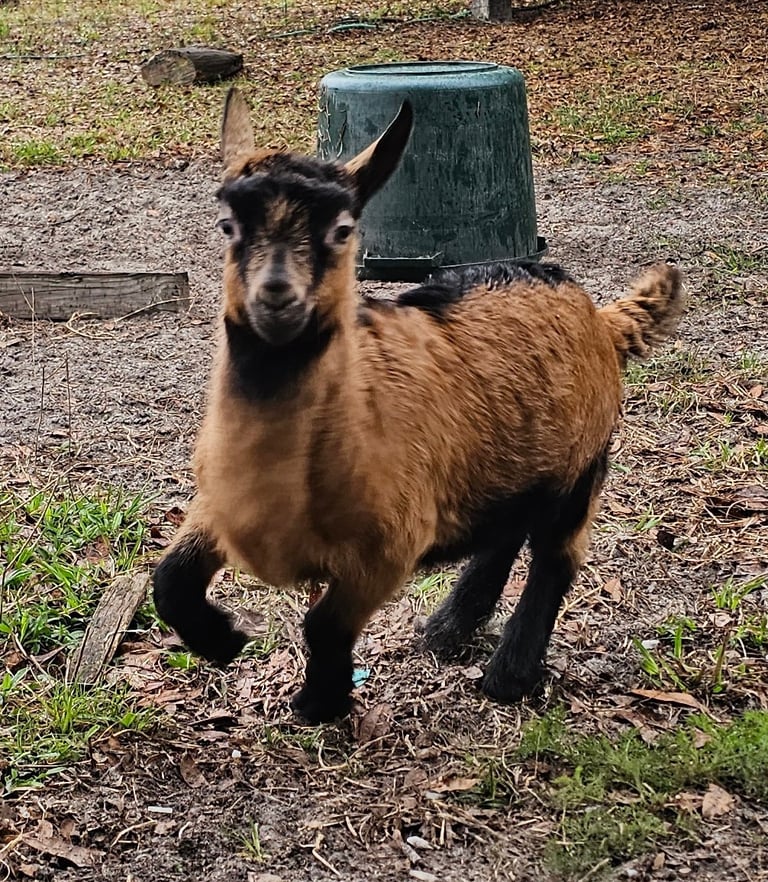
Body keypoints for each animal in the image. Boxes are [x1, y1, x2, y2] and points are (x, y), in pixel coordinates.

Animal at [153, 88, 684, 724]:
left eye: (343, 229)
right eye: (228, 224)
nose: (277, 296)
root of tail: (601, 317)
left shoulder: (386, 550)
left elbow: (323, 625)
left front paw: (320, 700)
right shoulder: (220, 508)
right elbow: (168, 581)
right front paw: (224, 641)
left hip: (580, 465)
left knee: (556, 557)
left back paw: (508, 674)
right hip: (506, 456)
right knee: (504, 532)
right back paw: (446, 631)